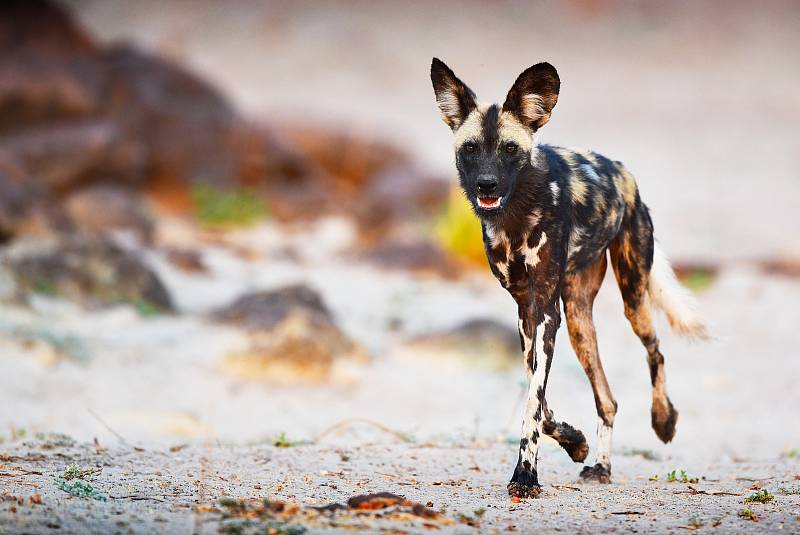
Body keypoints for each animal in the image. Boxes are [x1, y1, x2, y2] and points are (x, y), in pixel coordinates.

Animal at [432, 60, 708, 500]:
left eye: (509, 149)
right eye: (470, 148)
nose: (486, 184)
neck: (515, 213)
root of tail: (625, 174)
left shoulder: (546, 312)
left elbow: (533, 403)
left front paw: (525, 476)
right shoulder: (527, 312)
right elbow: (539, 402)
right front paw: (574, 442)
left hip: (632, 296)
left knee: (656, 351)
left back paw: (663, 420)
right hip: (579, 321)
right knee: (608, 399)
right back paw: (601, 466)